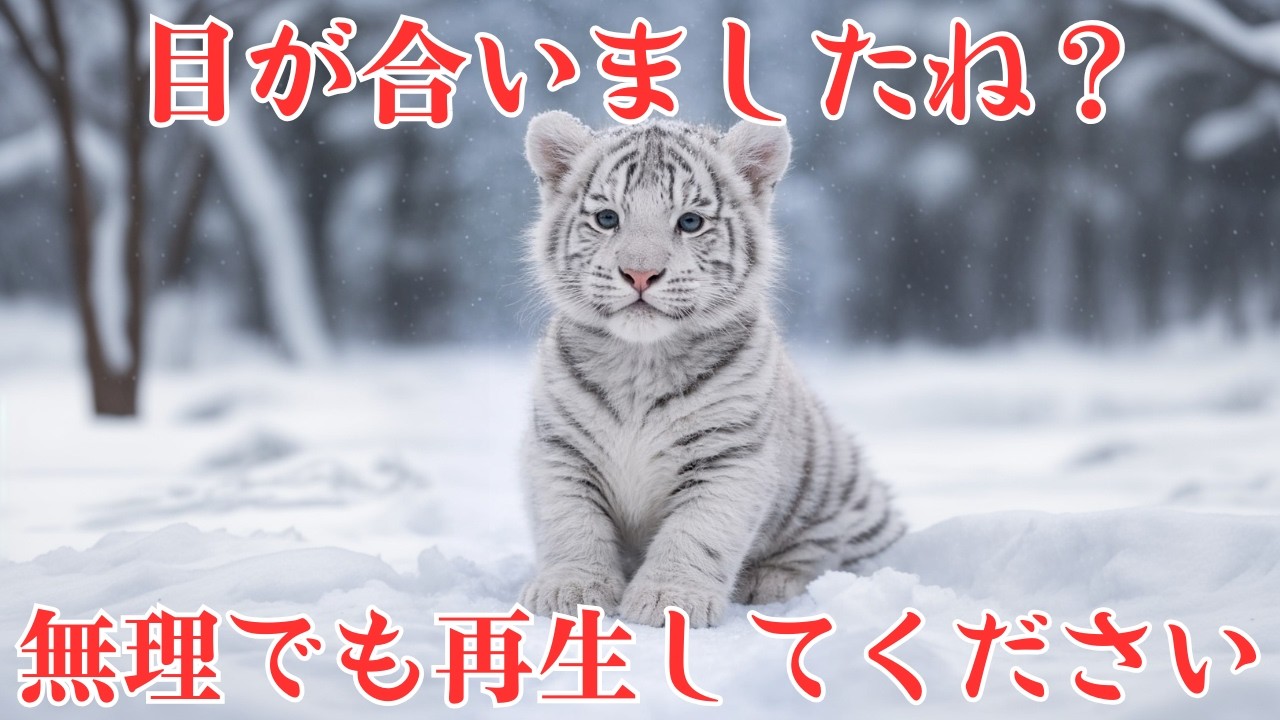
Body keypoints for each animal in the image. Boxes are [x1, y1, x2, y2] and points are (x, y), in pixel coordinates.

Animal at [518, 111, 904, 627]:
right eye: (607, 218)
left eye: (690, 222)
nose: (640, 274)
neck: (641, 361)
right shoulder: (561, 448)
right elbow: (571, 524)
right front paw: (571, 592)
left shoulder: (729, 455)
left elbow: (696, 533)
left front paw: (667, 599)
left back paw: (771, 581)